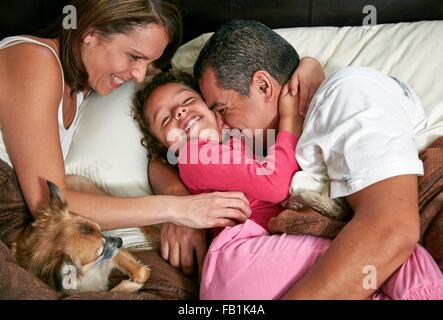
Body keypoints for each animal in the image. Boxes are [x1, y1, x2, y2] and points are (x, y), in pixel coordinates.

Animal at [11, 181, 151, 294]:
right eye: (101, 252)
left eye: (101, 230)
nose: (120, 241)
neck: (90, 270)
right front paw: (130, 285)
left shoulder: (115, 254)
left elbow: (142, 273)